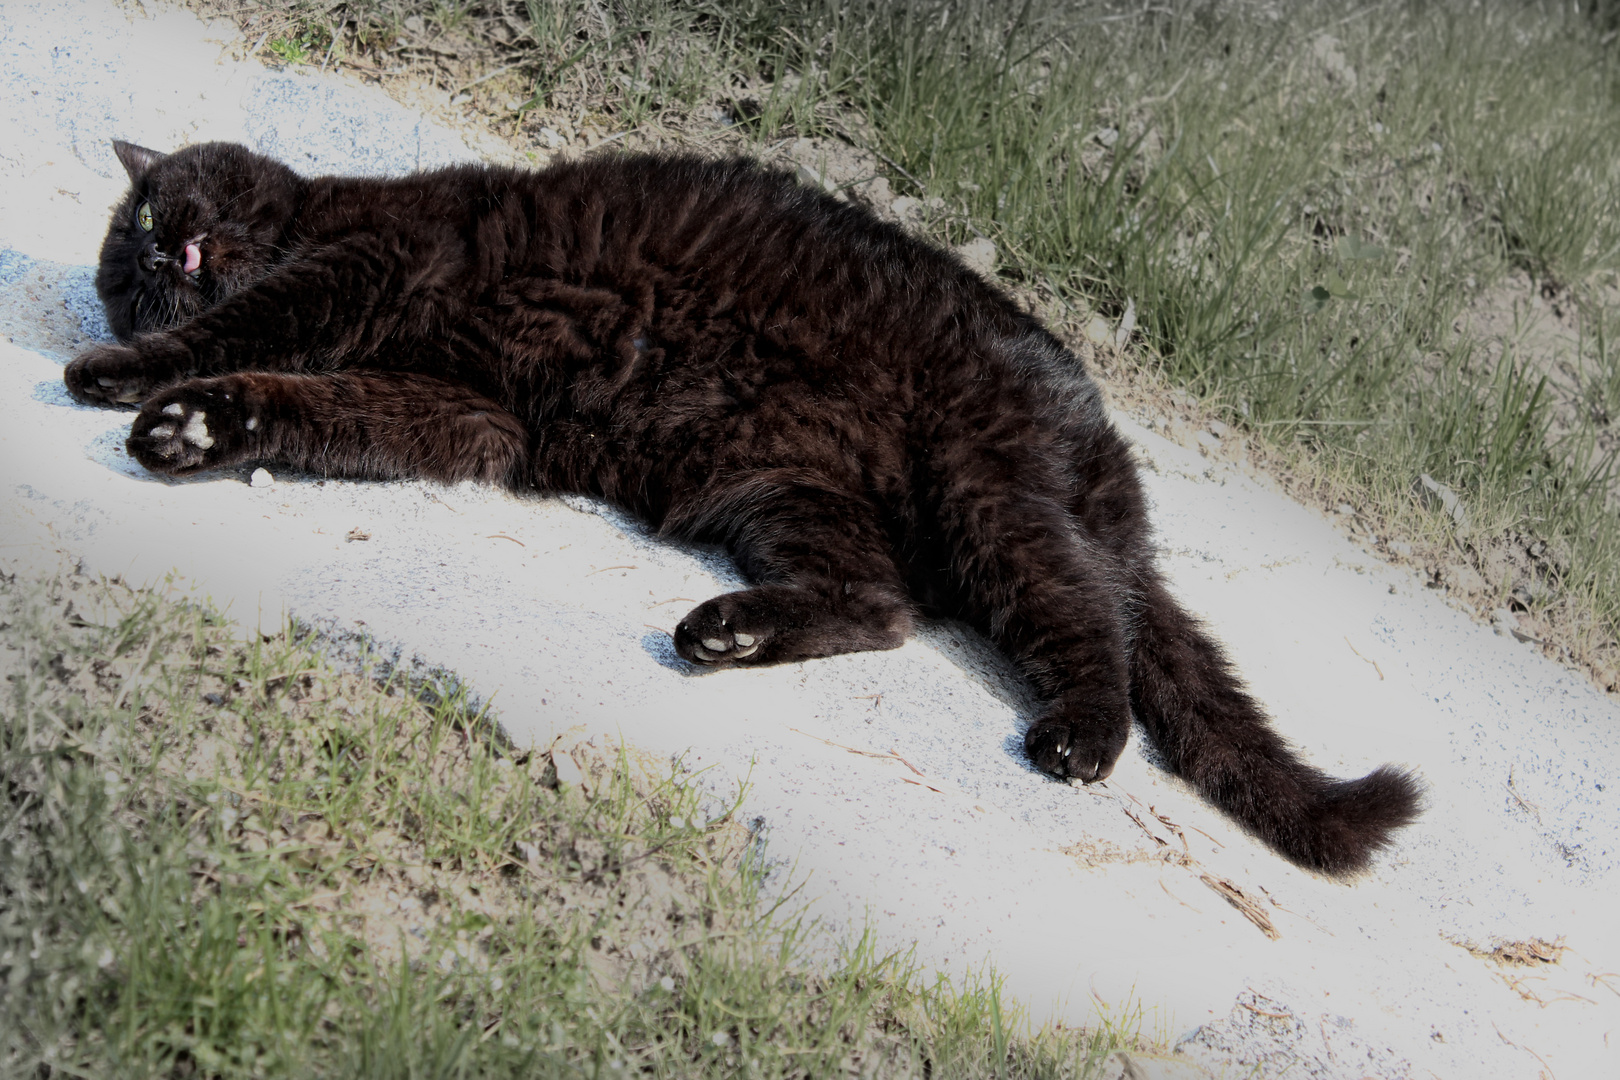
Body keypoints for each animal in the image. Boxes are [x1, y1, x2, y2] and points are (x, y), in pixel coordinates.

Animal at [69, 139, 1425, 874]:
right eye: (129, 256)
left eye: (154, 212)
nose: (153, 256)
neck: (322, 209)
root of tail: (1103, 449)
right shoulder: (461, 414)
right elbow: (306, 402)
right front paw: (198, 426)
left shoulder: (373, 262)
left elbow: (253, 324)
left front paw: (127, 377)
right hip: (784, 490)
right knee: (884, 608)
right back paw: (723, 631)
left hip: (990, 494)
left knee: (1099, 628)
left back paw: (1078, 741)